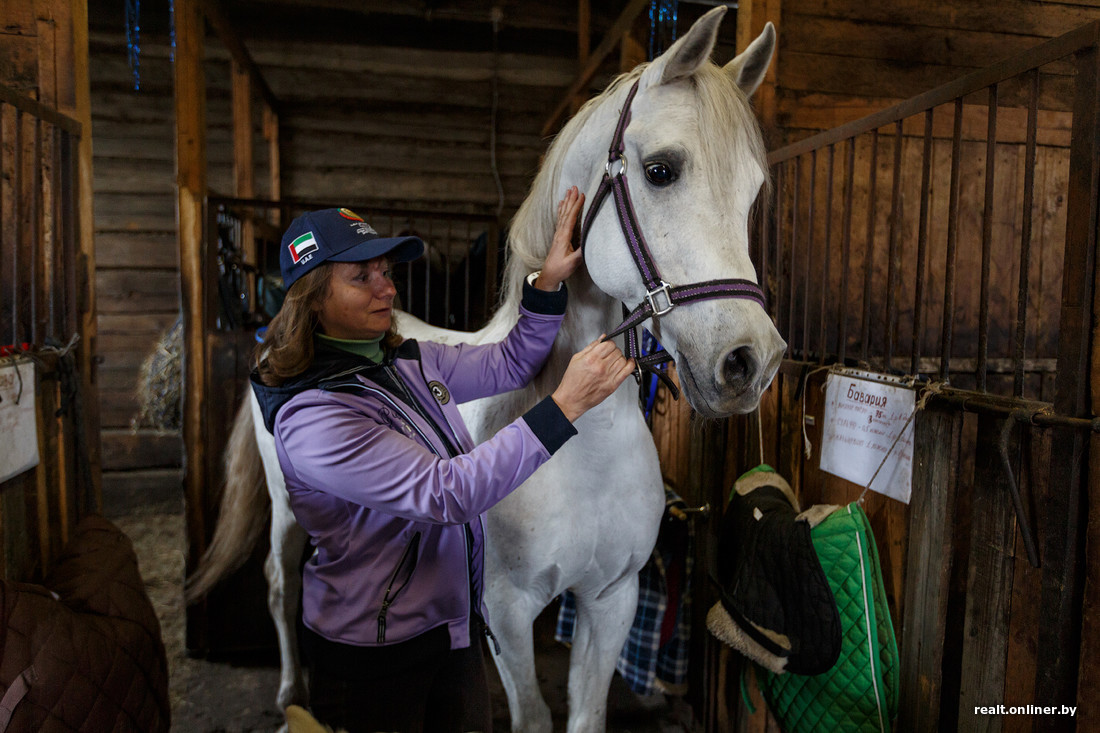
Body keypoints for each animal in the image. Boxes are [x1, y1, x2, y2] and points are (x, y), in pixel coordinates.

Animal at [189, 8, 787, 726]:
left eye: (753, 192)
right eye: (661, 169)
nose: (751, 361)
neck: (586, 448)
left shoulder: (611, 599)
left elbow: (586, 713)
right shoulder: (505, 611)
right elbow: (532, 714)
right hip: (285, 508)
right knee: (281, 585)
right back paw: (290, 693)